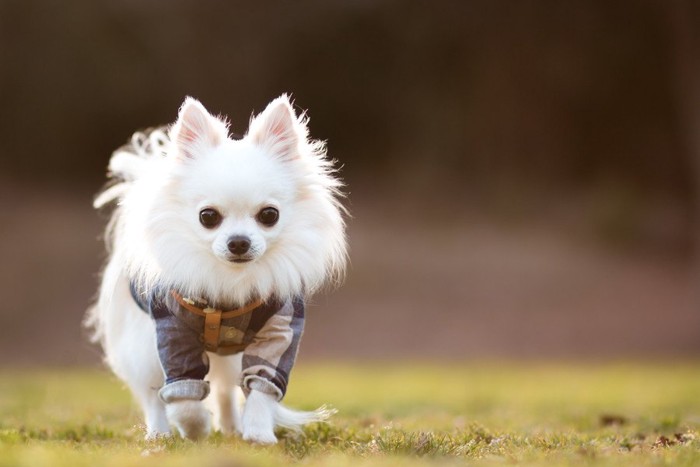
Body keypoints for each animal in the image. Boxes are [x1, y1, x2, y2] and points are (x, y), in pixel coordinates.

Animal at [87, 96, 348, 442]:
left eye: (269, 215)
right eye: (208, 217)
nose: (238, 242)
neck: (229, 282)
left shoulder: (279, 330)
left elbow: (262, 384)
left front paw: (258, 433)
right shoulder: (171, 330)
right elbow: (183, 393)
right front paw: (195, 426)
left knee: (225, 390)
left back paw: (231, 427)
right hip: (142, 346)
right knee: (153, 393)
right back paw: (160, 434)